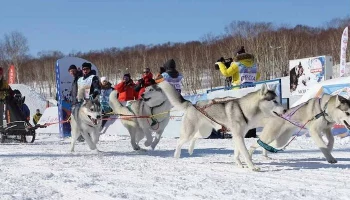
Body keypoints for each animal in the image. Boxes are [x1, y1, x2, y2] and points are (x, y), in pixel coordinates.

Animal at [157, 80, 286, 171]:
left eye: (278, 100)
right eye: (274, 101)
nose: (285, 110)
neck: (243, 110)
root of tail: (192, 104)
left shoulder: (238, 136)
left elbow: (237, 153)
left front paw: (240, 164)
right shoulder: (238, 136)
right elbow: (245, 153)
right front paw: (253, 167)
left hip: (205, 132)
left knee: (195, 137)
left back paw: (190, 149)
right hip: (189, 132)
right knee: (179, 142)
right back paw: (177, 155)